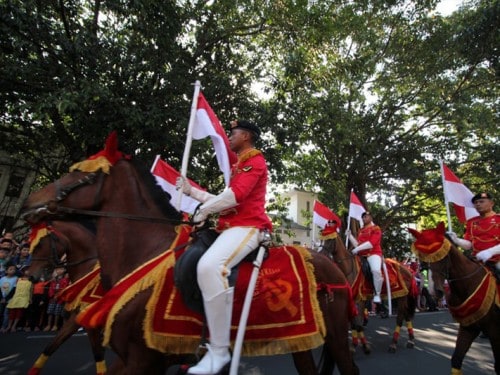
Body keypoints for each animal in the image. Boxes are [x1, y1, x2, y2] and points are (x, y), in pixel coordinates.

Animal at [408, 222, 498, 374]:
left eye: (442, 257)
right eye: (422, 259)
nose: (434, 290)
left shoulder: (494, 330)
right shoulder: (468, 327)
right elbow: (456, 359)